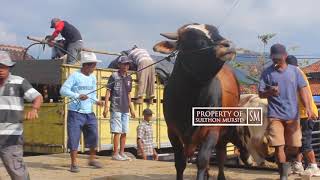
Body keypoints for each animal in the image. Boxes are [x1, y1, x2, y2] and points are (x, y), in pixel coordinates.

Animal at [153, 23, 252, 180]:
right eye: (193, 38)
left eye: (217, 32)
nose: (229, 45)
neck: (189, 100)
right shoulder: (172, 132)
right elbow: (180, 162)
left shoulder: (211, 131)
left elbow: (202, 160)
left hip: (226, 128)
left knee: (221, 153)